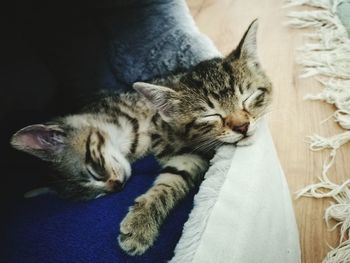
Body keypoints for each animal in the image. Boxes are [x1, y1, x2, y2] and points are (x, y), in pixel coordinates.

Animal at [10, 20, 274, 256]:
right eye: (210, 115)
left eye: (248, 98)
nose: (242, 126)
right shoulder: (190, 151)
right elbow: (172, 178)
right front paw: (141, 222)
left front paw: (139, 224)